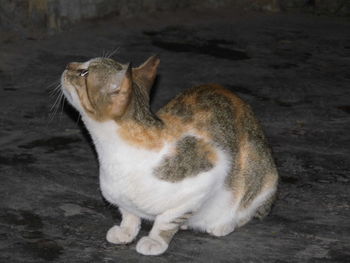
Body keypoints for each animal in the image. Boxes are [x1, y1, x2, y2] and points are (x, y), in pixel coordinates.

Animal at [60, 55, 278, 256]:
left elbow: (167, 219)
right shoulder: (118, 195)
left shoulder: (210, 173)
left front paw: (155, 240)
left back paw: (224, 224)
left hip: (262, 173)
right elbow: (128, 213)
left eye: (84, 73)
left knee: (247, 208)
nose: (68, 65)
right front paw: (126, 230)